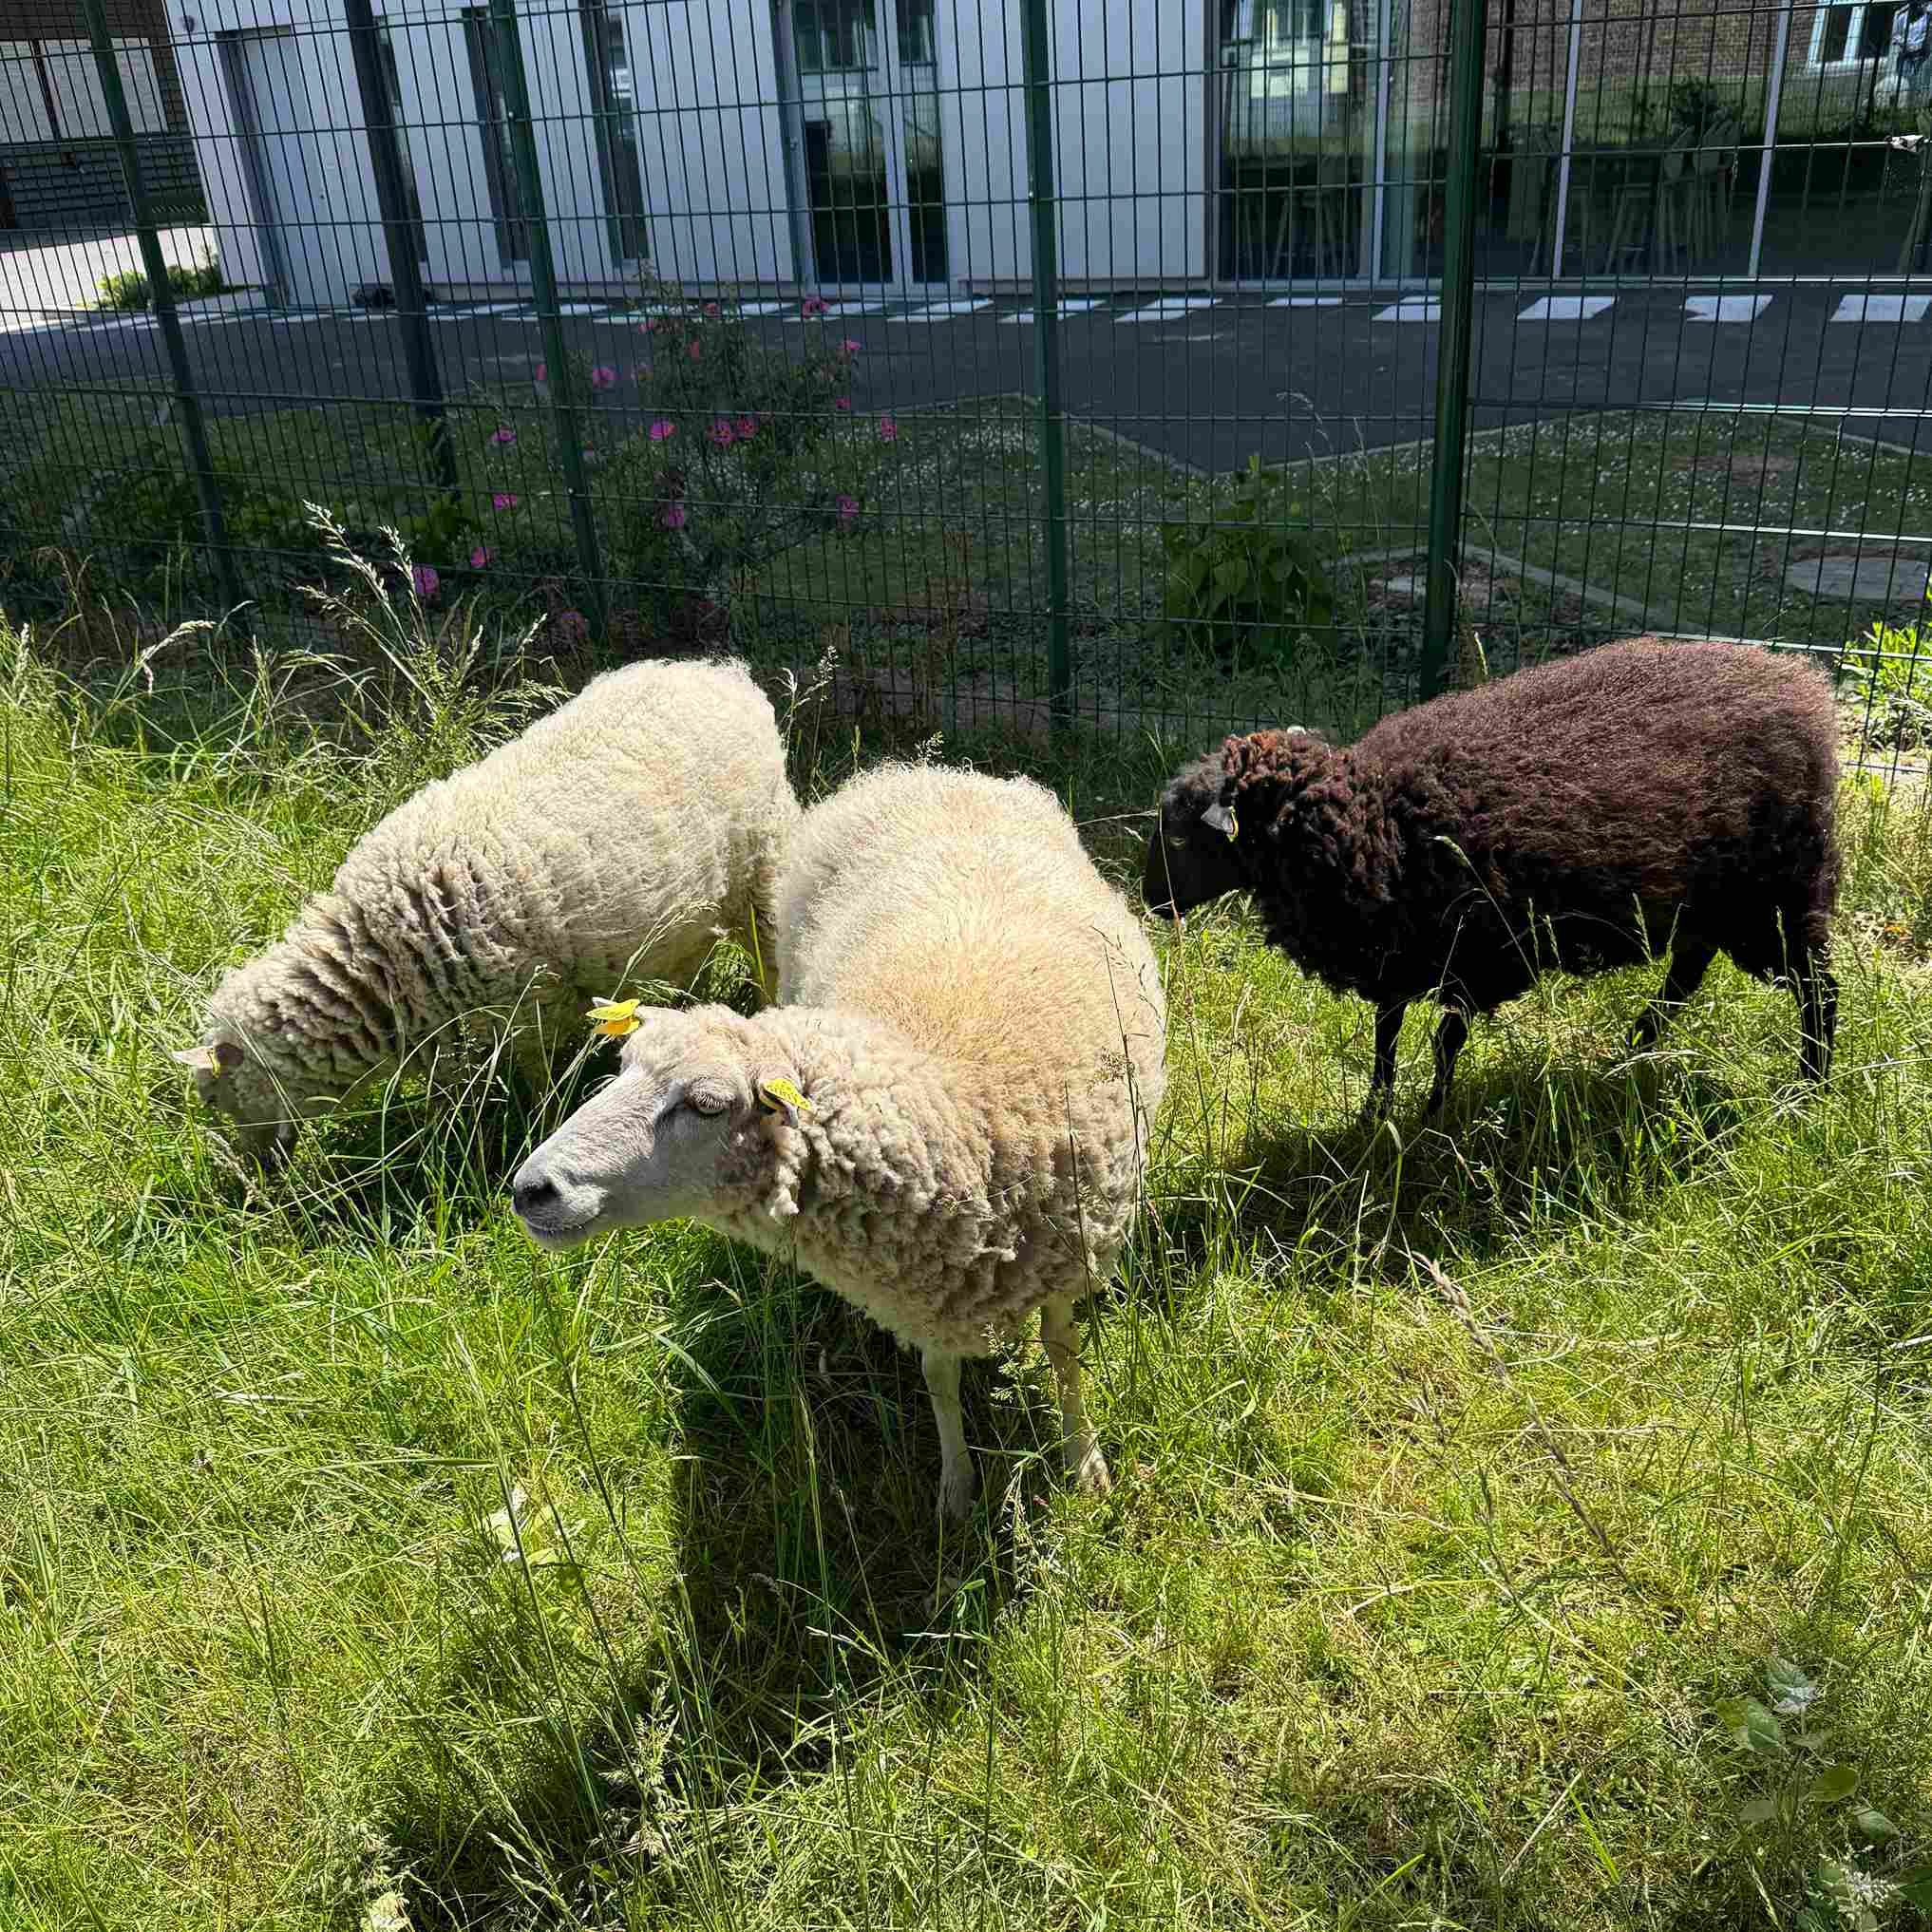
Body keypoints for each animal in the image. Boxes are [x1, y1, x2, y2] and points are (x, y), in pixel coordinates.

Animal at [173, 657, 800, 1165]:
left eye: (217, 1097)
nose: (258, 1172)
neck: (378, 955)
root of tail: (718, 673)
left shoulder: (529, 1006)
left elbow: (536, 1079)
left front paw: (534, 1124)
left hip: (763, 861)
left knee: (767, 950)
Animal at [510, 764, 1167, 1520]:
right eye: (622, 1068)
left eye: (706, 1105)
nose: (531, 1189)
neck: (957, 1109)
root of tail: (922, 772)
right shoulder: (922, 1295)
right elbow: (939, 1379)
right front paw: (956, 1491)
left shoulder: (1069, 1251)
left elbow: (1065, 1352)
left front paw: (1084, 1465)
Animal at [1143, 637, 1840, 1118]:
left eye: (1179, 838)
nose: (1150, 902)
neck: (1378, 818)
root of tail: (1802, 688)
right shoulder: (1402, 955)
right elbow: (1385, 1038)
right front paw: (1376, 1110)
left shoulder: (1477, 958)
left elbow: (1443, 1042)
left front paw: (1431, 1115)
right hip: (1714, 901)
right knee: (1689, 972)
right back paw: (1634, 1048)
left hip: (1781, 889)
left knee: (1816, 987)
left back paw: (1811, 1086)